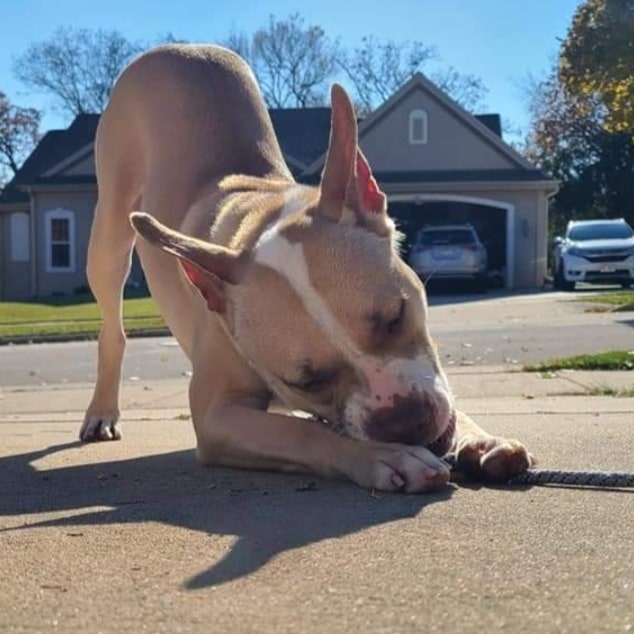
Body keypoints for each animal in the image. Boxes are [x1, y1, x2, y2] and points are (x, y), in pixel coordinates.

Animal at [80, 44, 532, 492]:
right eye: (307, 382)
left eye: (396, 316)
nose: (405, 421)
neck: (260, 220)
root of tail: (179, 48)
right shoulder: (216, 418)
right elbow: (305, 432)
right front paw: (384, 455)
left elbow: (450, 402)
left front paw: (480, 438)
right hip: (108, 240)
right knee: (112, 327)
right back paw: (101, 411)